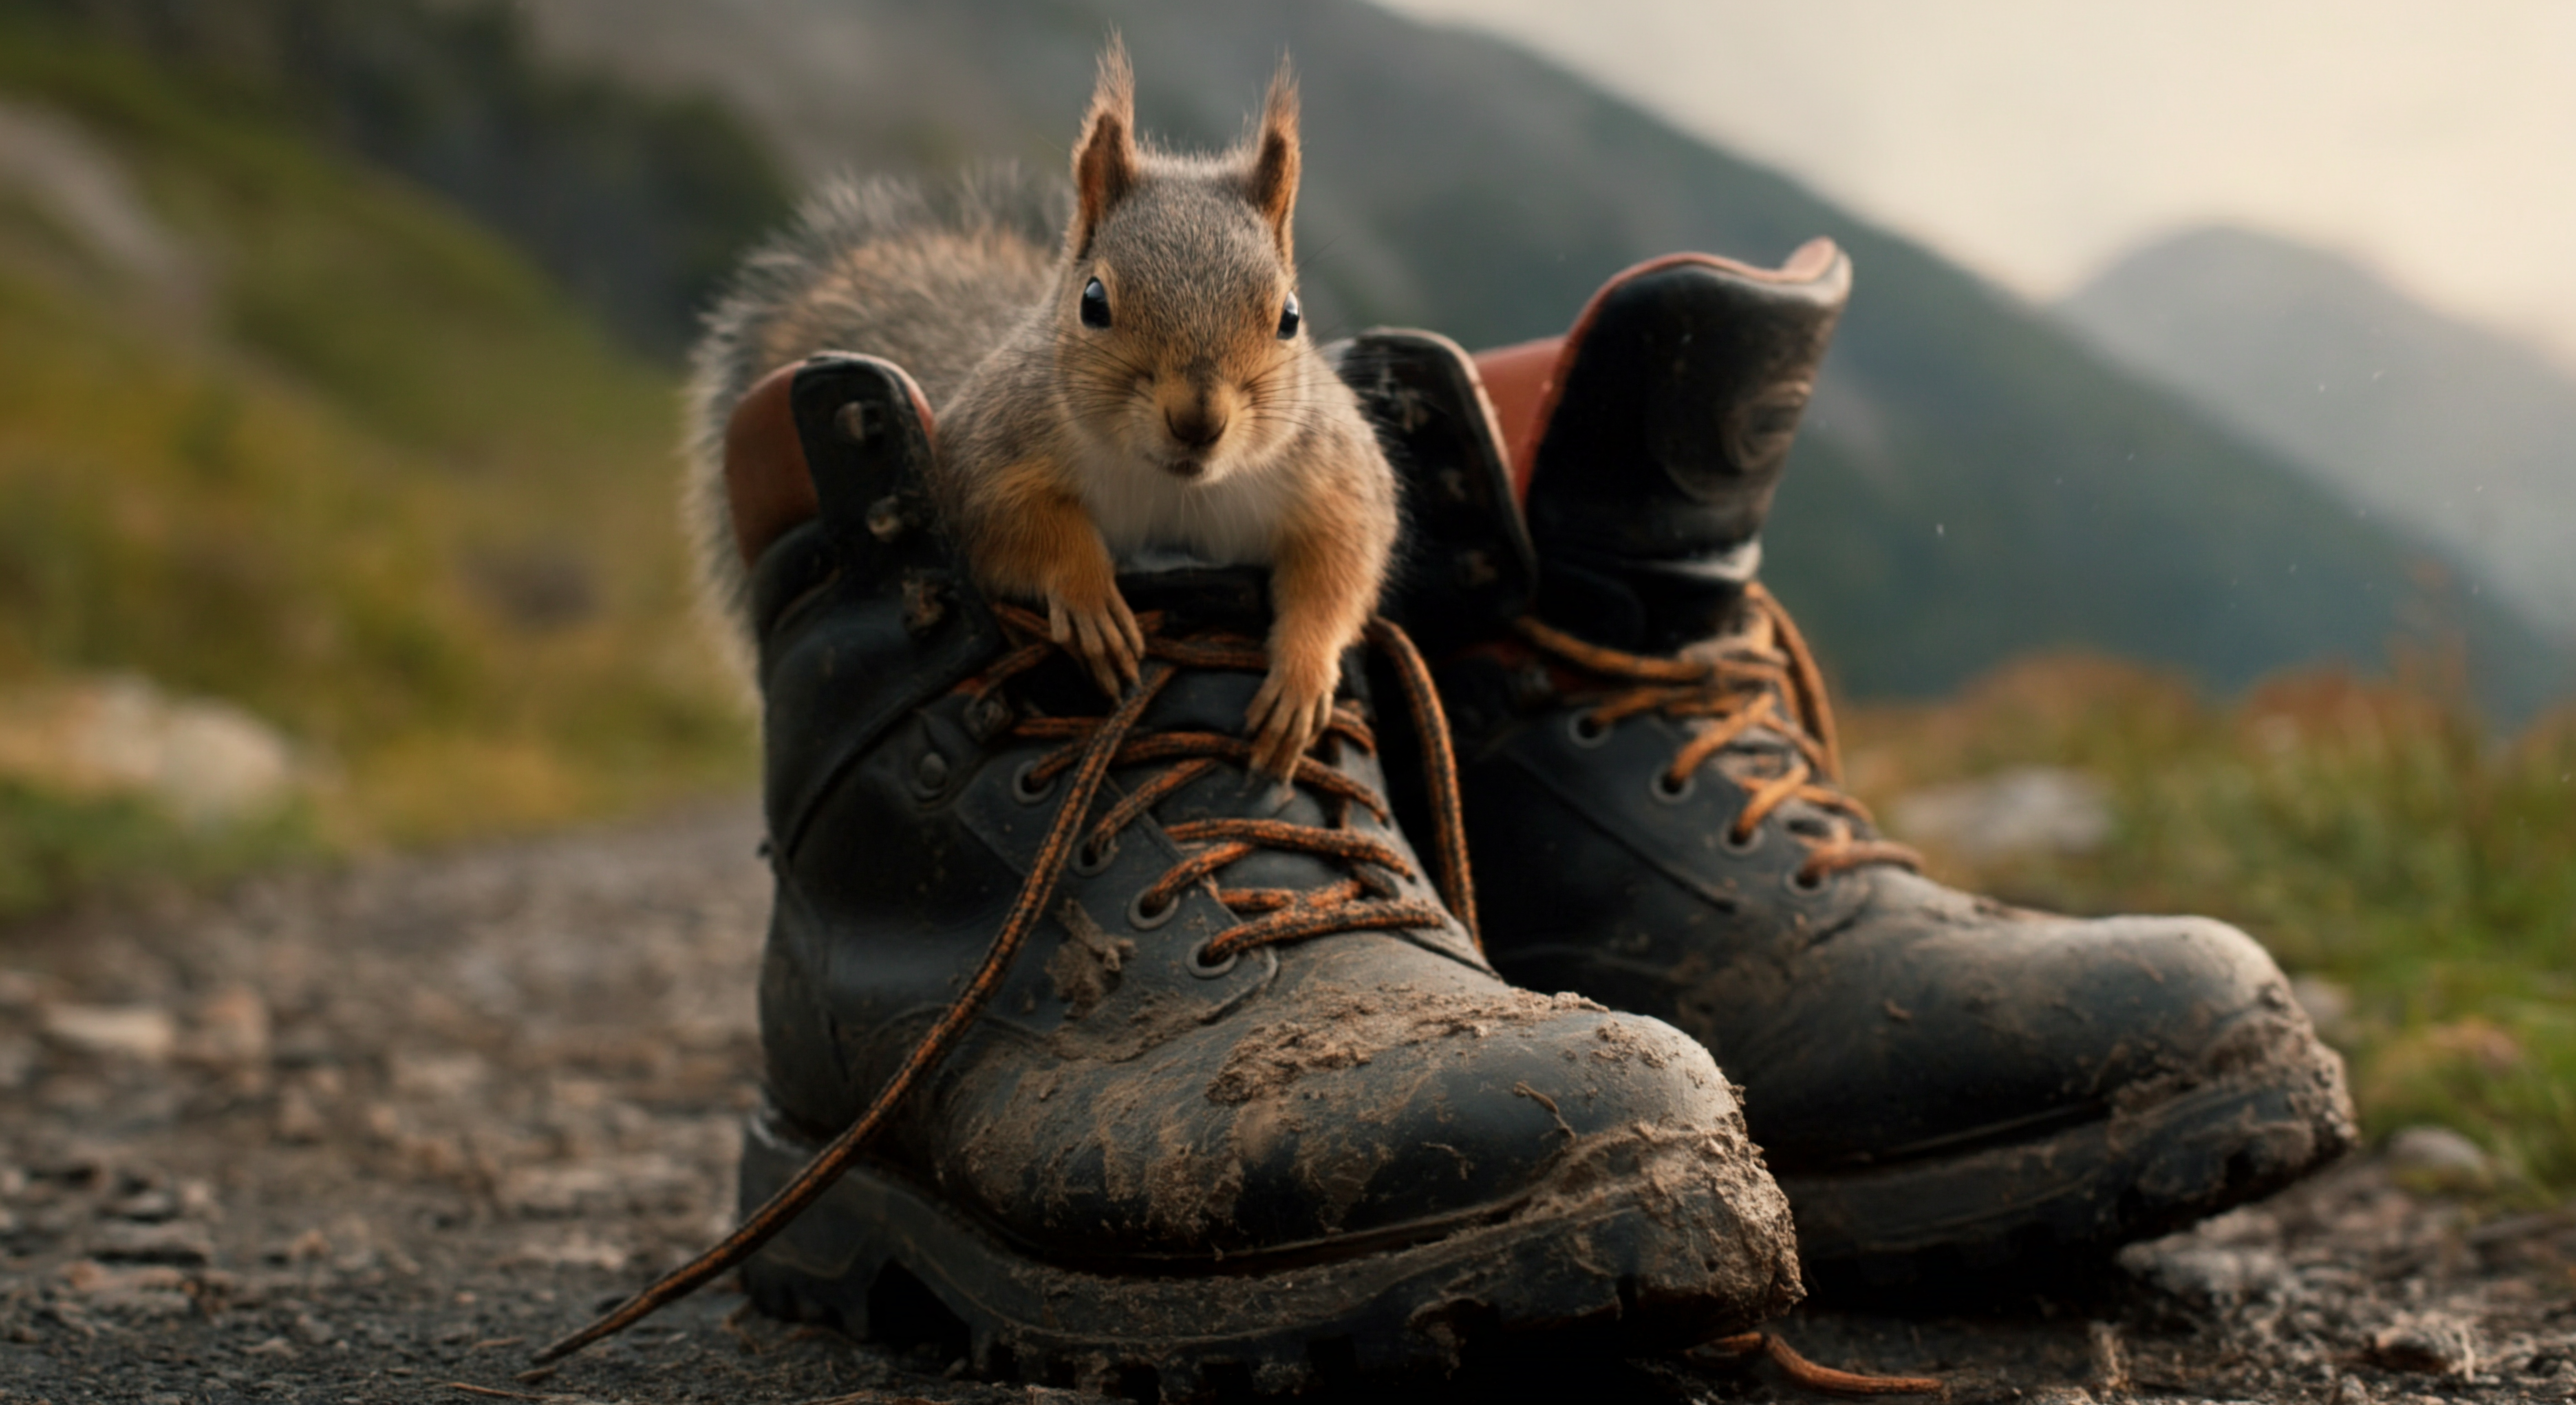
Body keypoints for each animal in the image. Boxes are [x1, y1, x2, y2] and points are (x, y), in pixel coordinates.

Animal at [686, 42, 1398, 778]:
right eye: (1093, 301)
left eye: (1290, 316)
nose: (1198, 421)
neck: (1171, 490)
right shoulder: (989, 452)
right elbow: (1013, 522)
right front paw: (1086, 595)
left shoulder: (1332, 473)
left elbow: (1343, 560)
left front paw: (1304, 675)